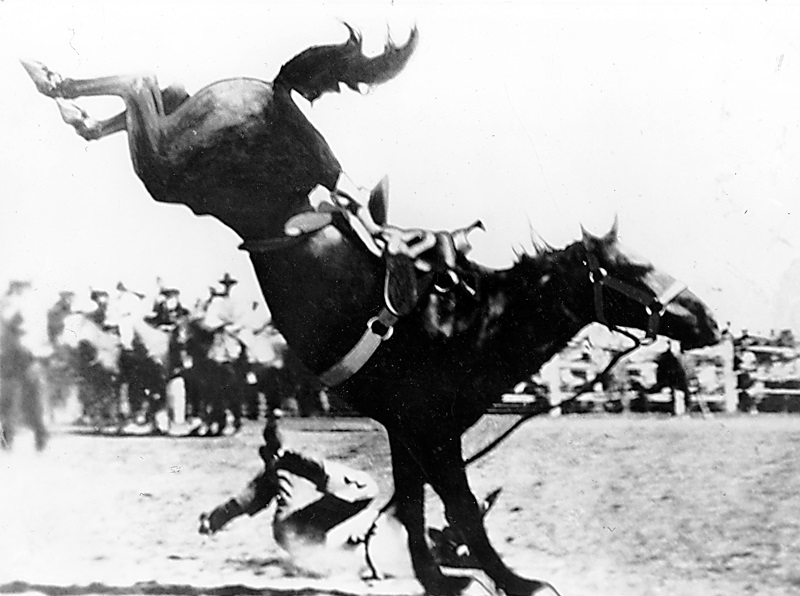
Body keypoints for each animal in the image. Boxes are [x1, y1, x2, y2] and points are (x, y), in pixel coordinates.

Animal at [23, 26, 721, 595]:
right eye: (634, 270)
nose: (709, 320)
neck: (467, 322)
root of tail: (277, 93)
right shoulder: (432, 432)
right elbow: (458, 510)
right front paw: (515, 581)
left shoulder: (407, 430)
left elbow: (414, 507)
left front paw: (437, 576)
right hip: (175, 170)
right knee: (141, 86)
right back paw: (53, 81)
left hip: (182, 155)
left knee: (148, 96)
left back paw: (73, 107)